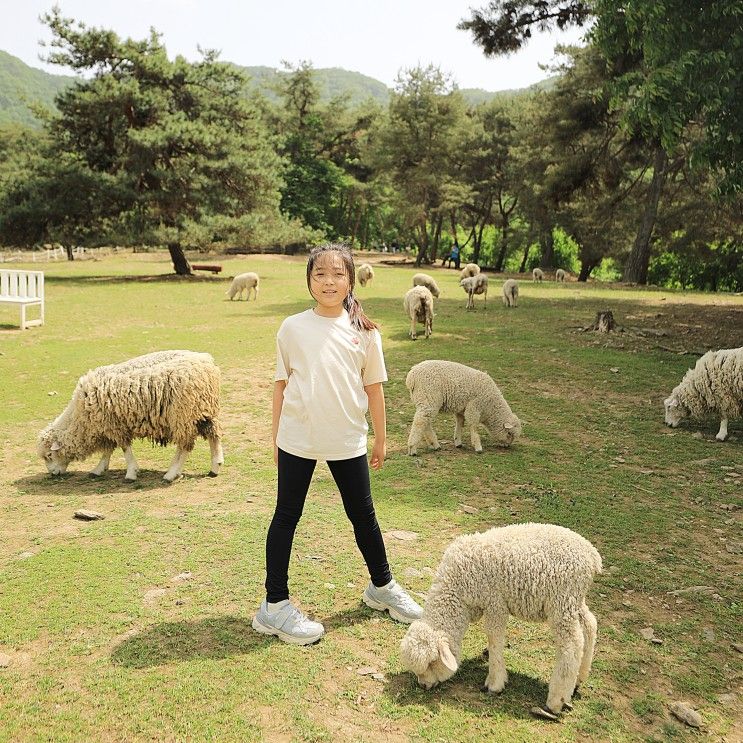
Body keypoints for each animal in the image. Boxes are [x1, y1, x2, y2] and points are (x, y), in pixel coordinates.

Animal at [37, 354, 224, 486]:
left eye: (49, 455)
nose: (52, 474)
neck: (80, 418)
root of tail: (208, 364)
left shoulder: (115, 425)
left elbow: (124, 449)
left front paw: (131, 473)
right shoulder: (108, 426)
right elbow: (108, 450)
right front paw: (98, 469)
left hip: (182, 415)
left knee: (184, 446)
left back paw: (171, 474)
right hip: (204, 412)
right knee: (214, 436)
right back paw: (215, 467)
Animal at [402, 520, 604, 716]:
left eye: (431, 663)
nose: (423, 685)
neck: (458, 593)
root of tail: (592, 556)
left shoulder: (495, 603)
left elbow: (494, 638)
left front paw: (494, 683)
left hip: (561, 600)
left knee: (572, 644)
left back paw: (556, 701)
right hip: (574, 600)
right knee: (590, 624)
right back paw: (579, 679)